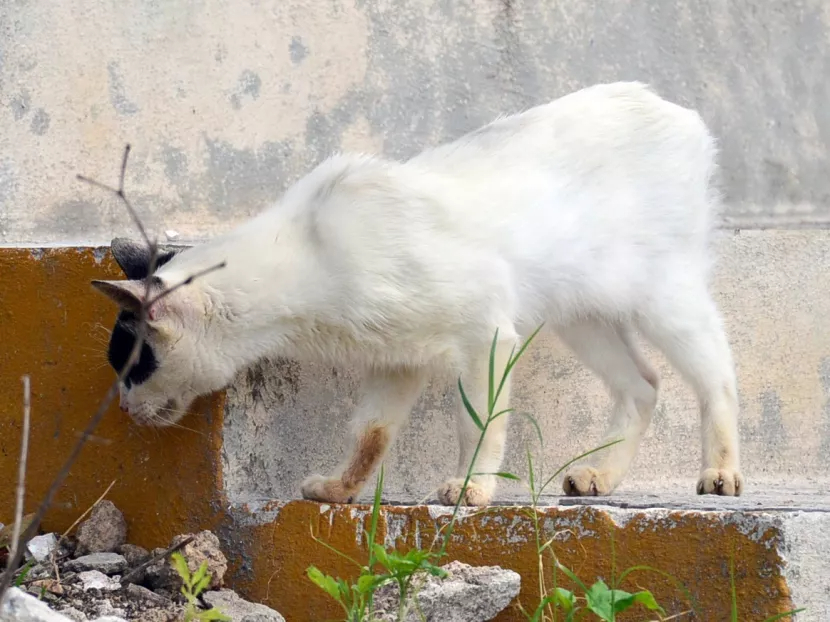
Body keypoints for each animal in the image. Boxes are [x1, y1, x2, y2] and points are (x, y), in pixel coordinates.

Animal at [94, 81, 744, 508]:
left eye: (133, 368)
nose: (122, 409)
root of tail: (665, 102)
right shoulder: (396, 360)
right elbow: (370, 434)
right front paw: (340, 490)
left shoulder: (486, 335)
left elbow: (478, 423)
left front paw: (470, 489)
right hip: (583, 316)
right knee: (644, 384)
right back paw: (598, 477)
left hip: (664, 297)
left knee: (716, 376)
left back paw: (719, 474)